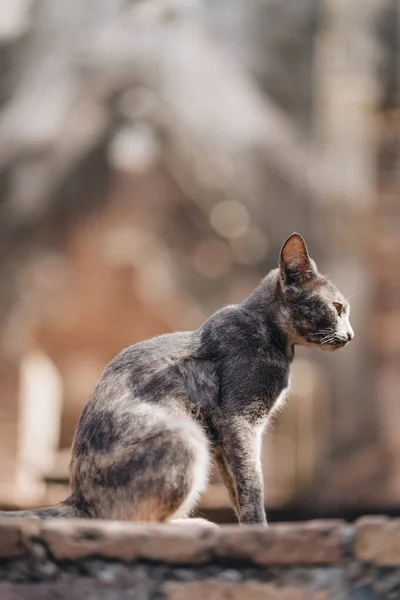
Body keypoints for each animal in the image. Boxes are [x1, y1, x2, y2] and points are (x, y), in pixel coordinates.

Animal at [2, 232, 354, 524]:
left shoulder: (221, 439)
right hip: (185, 437)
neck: (272, 335)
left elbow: (236, 488)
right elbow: (252, 486)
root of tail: (76, 499)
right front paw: (259, 530)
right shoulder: (240, 419)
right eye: (337, 307)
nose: (351, 334)